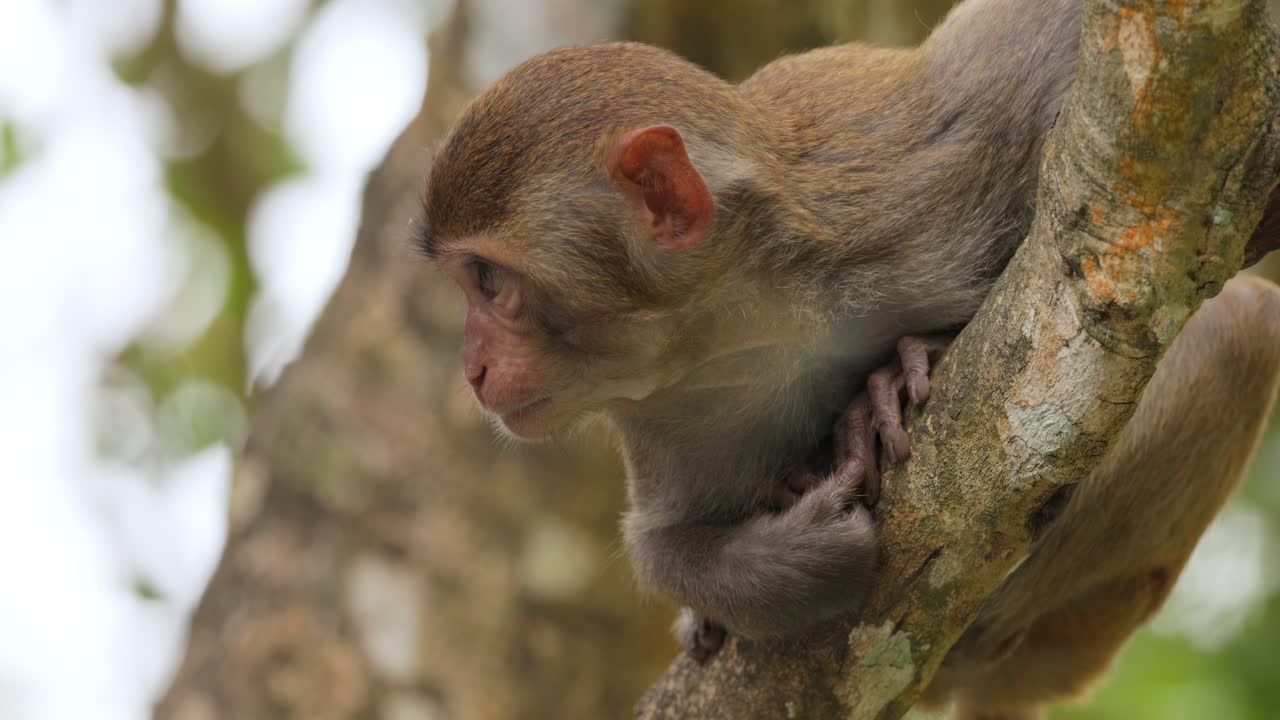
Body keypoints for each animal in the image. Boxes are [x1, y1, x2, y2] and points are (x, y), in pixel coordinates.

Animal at [416, 0, 1280, 714]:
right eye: (466, 284)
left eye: (489, 282)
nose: (472, 368)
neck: (743, 320)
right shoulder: (664, 413)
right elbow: (662, 547)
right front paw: (797, 559)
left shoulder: (928, 177)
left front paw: (902, 369)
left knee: (1237, 329)